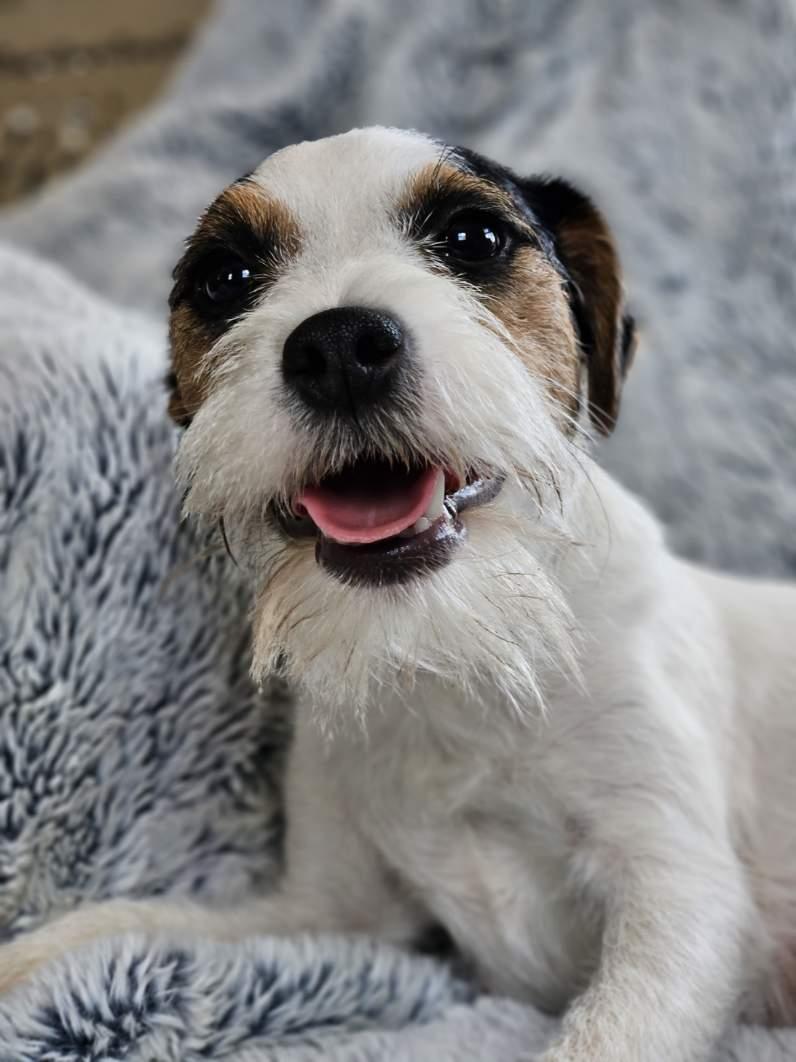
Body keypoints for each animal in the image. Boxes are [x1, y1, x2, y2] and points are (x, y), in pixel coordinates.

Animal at [1, 126, 794, 1062]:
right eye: (226, 277)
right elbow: (121, 926)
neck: (453, 653)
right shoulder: (330, 914)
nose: (339, 346)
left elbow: (609, 1033)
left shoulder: (678, 895)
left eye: (474, 238)